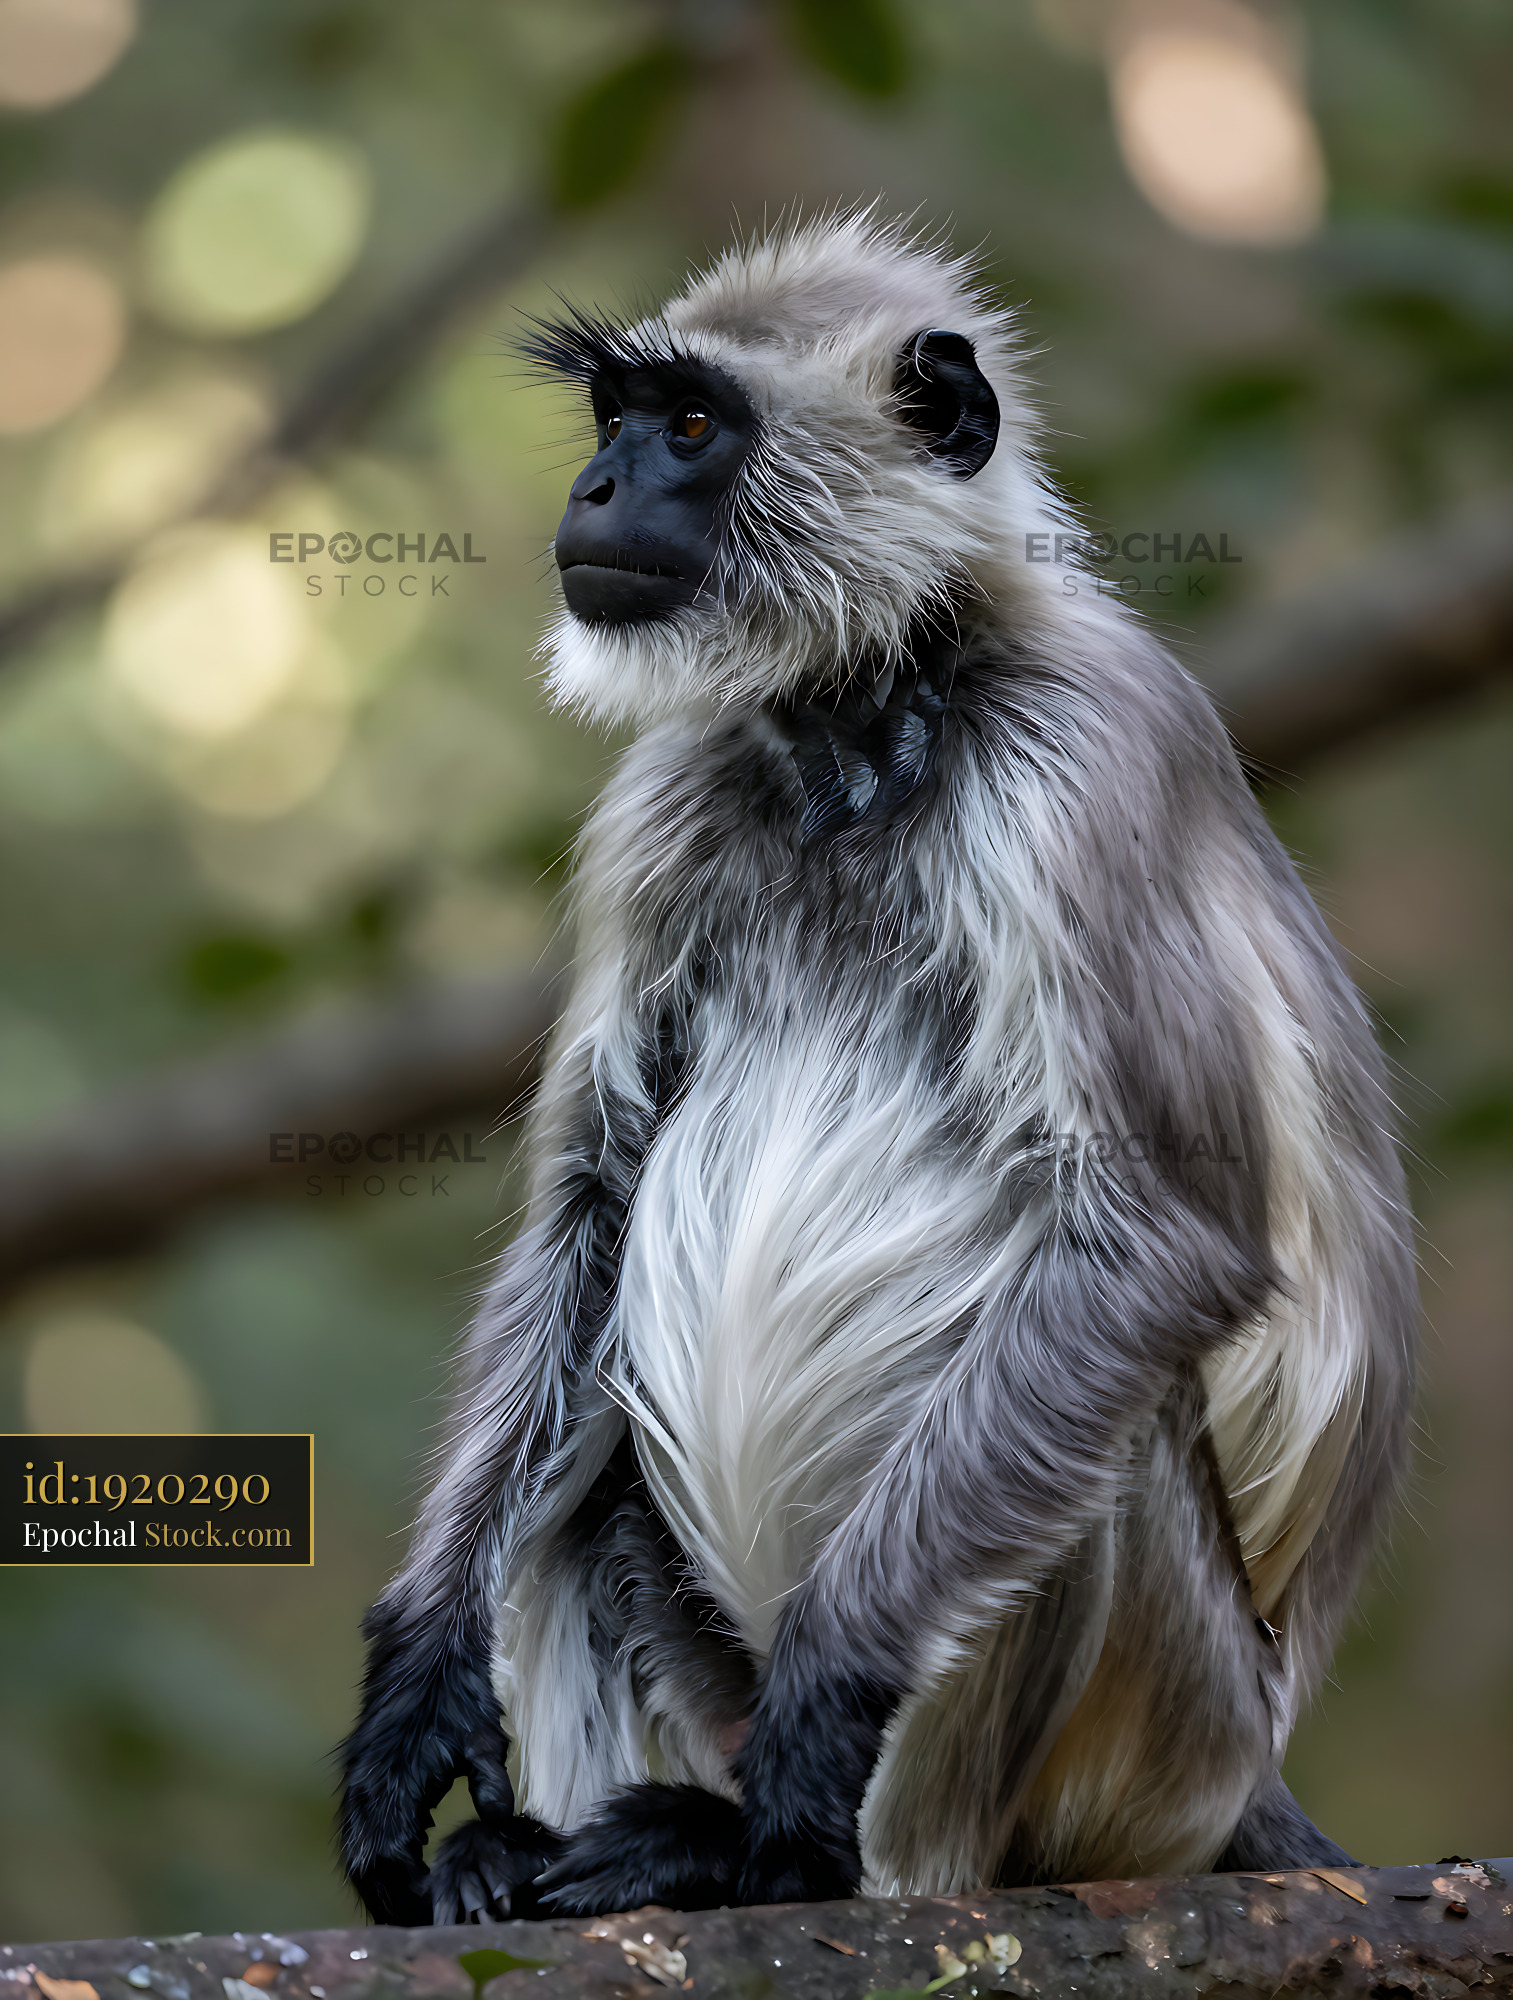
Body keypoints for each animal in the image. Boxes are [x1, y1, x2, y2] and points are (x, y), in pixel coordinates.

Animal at [338, 211, 1416, 1925]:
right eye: (613, 420)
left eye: (690, 426)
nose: (595, 491)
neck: (861, 727)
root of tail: (1244, 1766)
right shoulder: (670, 798)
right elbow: (590, 1204)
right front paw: (412, 1699)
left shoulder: (1081, 751)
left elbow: (1163, 1240)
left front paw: (827, 1700)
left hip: (1157, 1736)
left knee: (1110, 1398)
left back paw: (782, 1853)